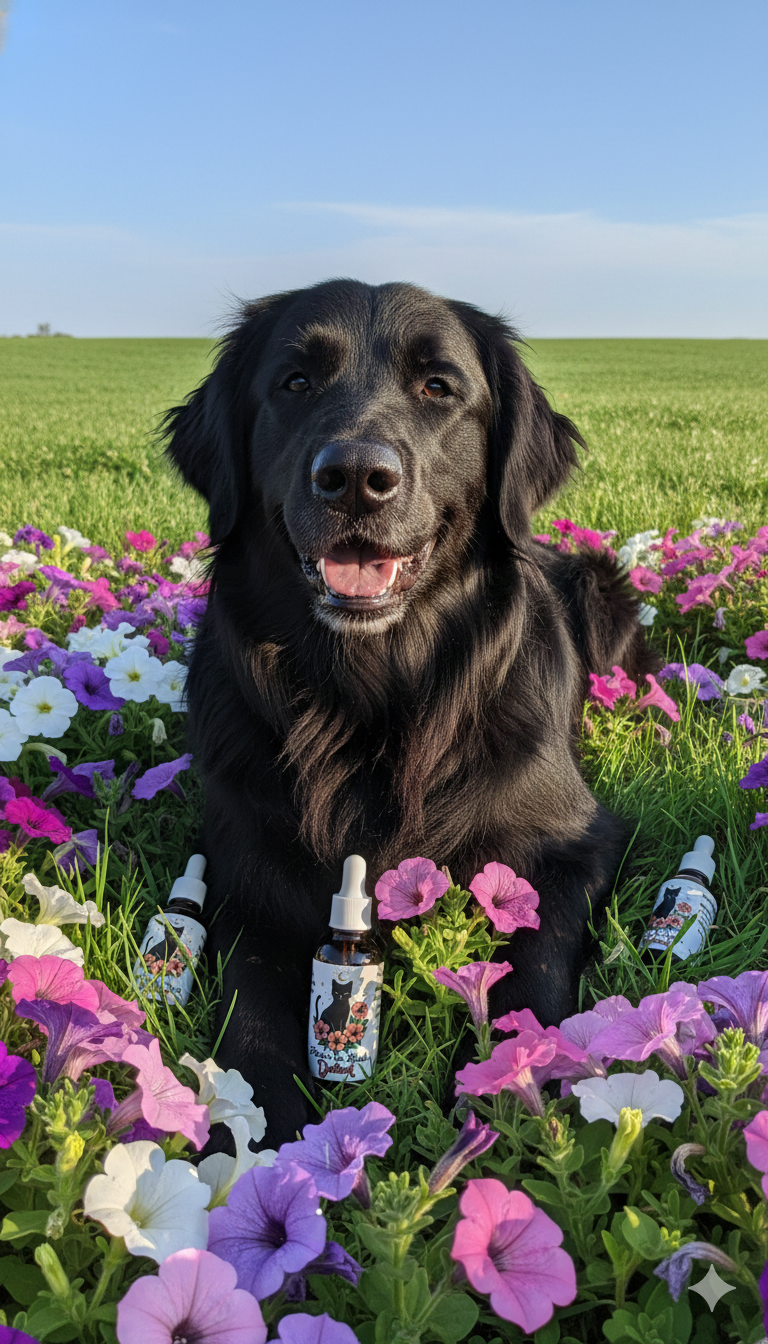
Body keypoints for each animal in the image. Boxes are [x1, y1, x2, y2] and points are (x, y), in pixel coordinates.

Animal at [164, 280, 652, 1145]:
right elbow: (250, 1009)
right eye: (294, 382)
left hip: (602, 586)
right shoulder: (244, 873)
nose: (356, 476)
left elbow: (537, 959)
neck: (368, 702)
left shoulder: (576, 845)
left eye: (439, 387)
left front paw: (514, 1086)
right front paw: (268, 1140)